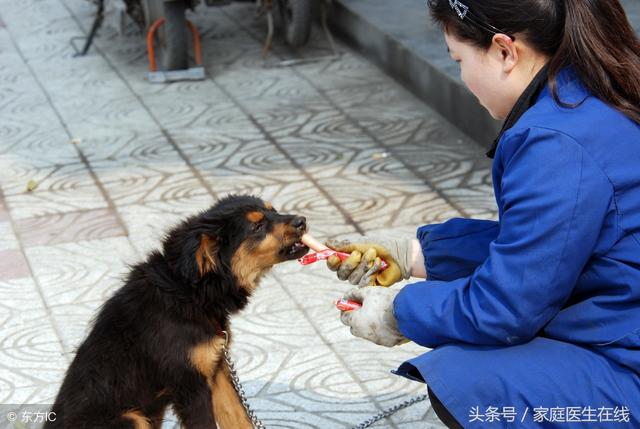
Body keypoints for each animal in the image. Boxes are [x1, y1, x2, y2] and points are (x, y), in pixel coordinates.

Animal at [46, 195, 308, 428]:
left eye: (273, 210)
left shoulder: (216, 369)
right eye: (257, 226)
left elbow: (238, 418)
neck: (188, 293)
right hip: (131, 418)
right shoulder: (189, 385)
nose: (302, 220)